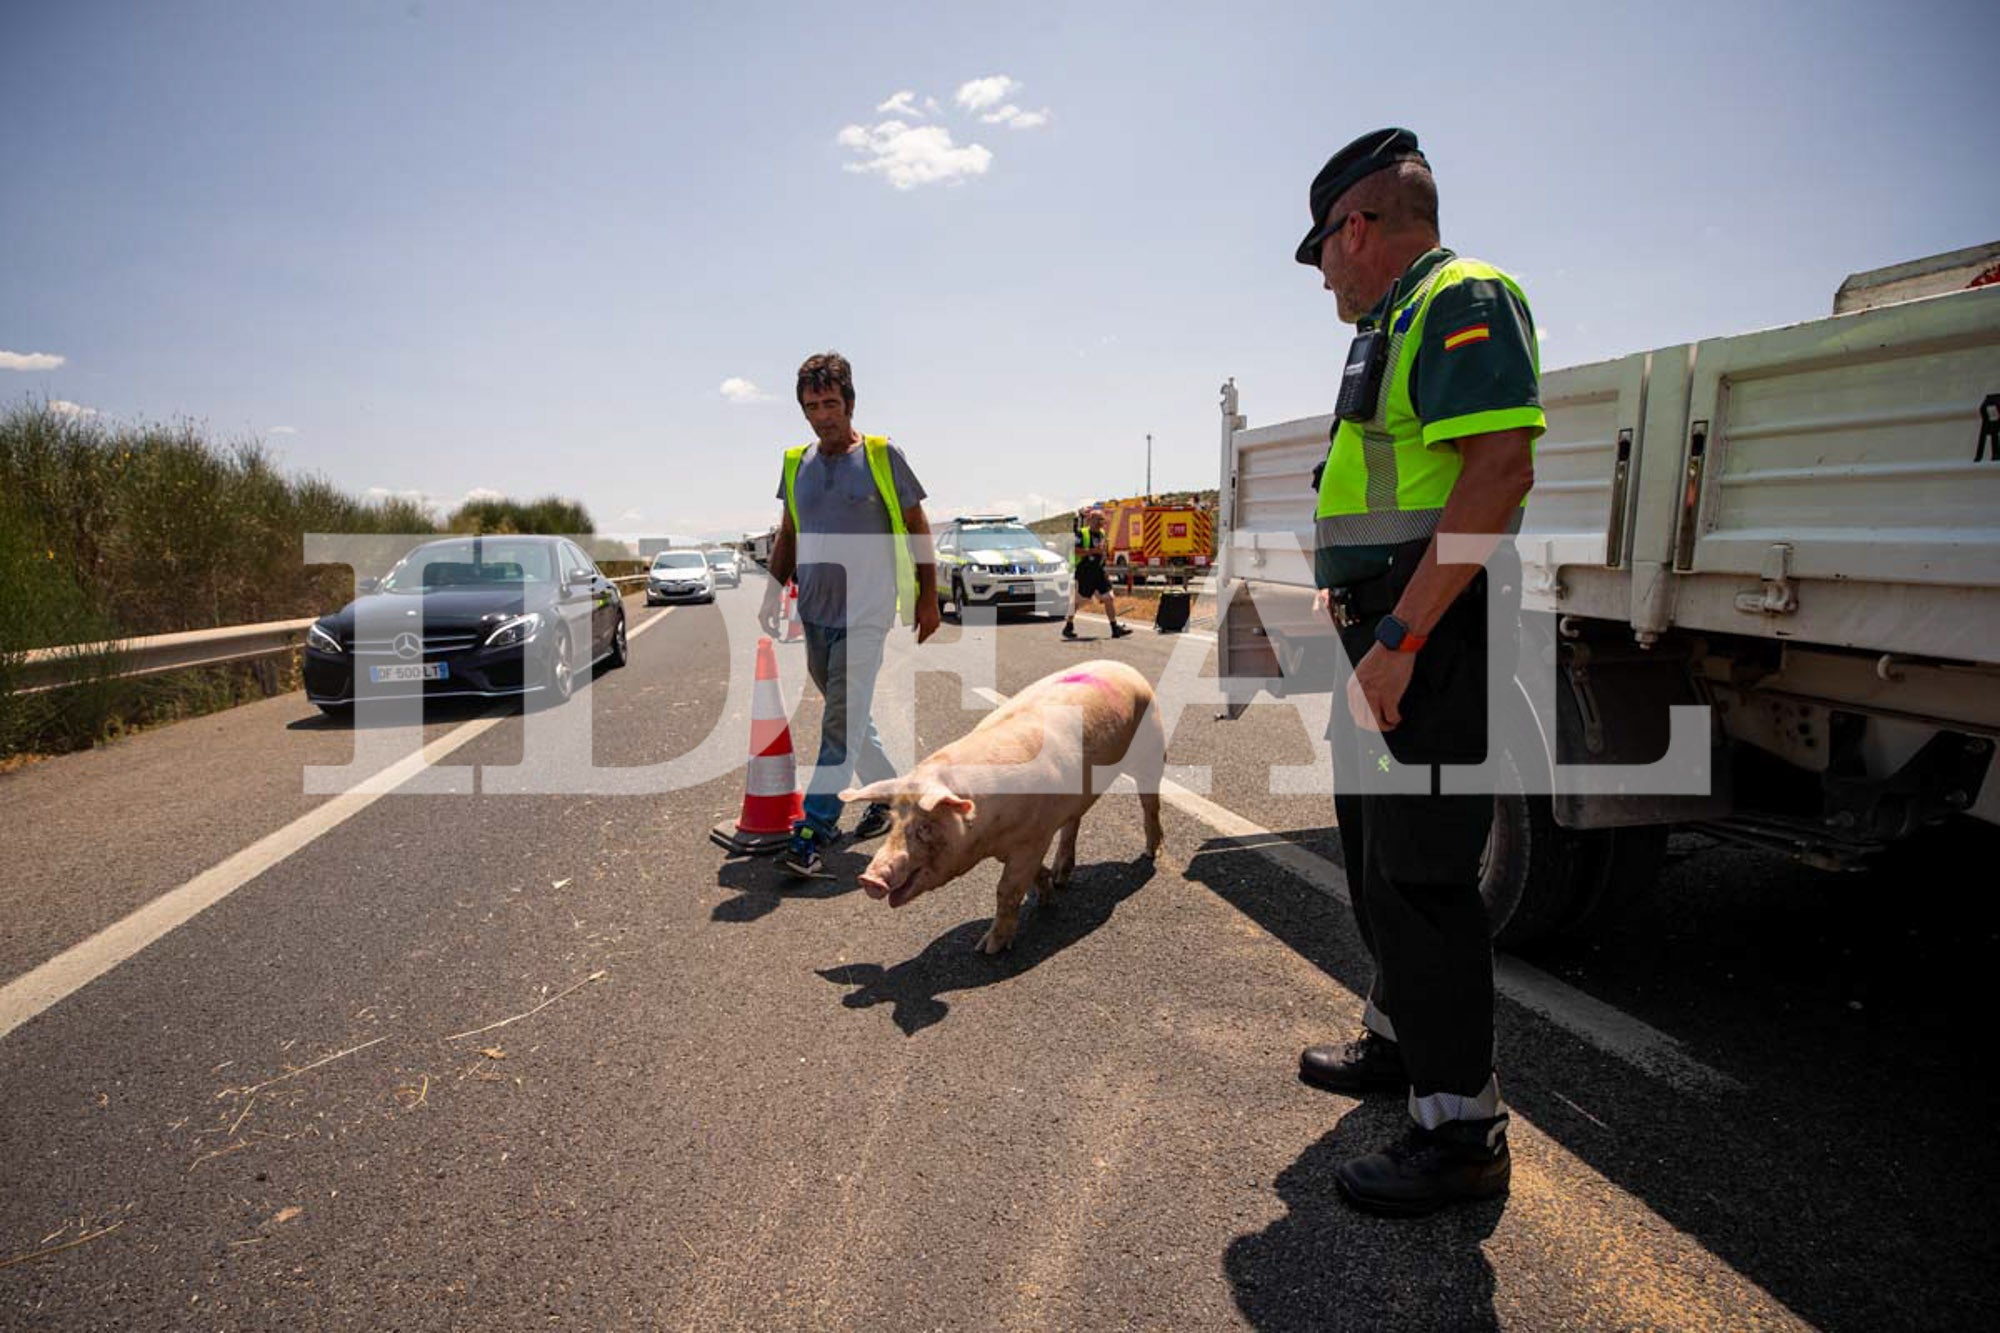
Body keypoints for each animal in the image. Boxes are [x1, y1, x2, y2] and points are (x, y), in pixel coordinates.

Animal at [836, 656, 1168, 948]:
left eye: (926, 827)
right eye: (893, 822)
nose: (869, 878)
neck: (988, 837)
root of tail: (1126, 668)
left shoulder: (1032, 839)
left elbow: (1007, 890)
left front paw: (988, 949)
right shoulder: (1021, 842)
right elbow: (1031, 876)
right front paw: (1047, 896)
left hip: (1152, 747)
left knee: (1149, 804)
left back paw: (1151, 853)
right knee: (1073, 822)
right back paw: (1062, 878)